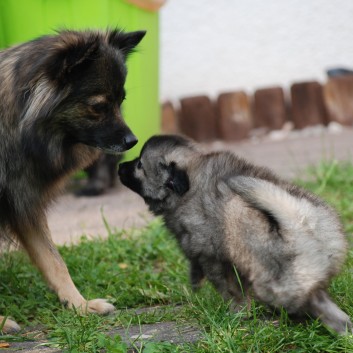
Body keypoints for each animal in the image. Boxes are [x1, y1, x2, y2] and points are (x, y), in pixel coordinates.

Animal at [0, 28, 144, 332]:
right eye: (99, 106)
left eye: (121, 101)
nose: (132, 141)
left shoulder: (24, 204)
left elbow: (54, 261)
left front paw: (80, 306)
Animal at [119, 134, 352, 332]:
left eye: (140, 165)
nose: (120, 165)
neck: (188, 186)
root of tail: (302, 220)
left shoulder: (212, 257)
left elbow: (229, 289)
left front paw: (237, 313)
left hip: (276, 283)